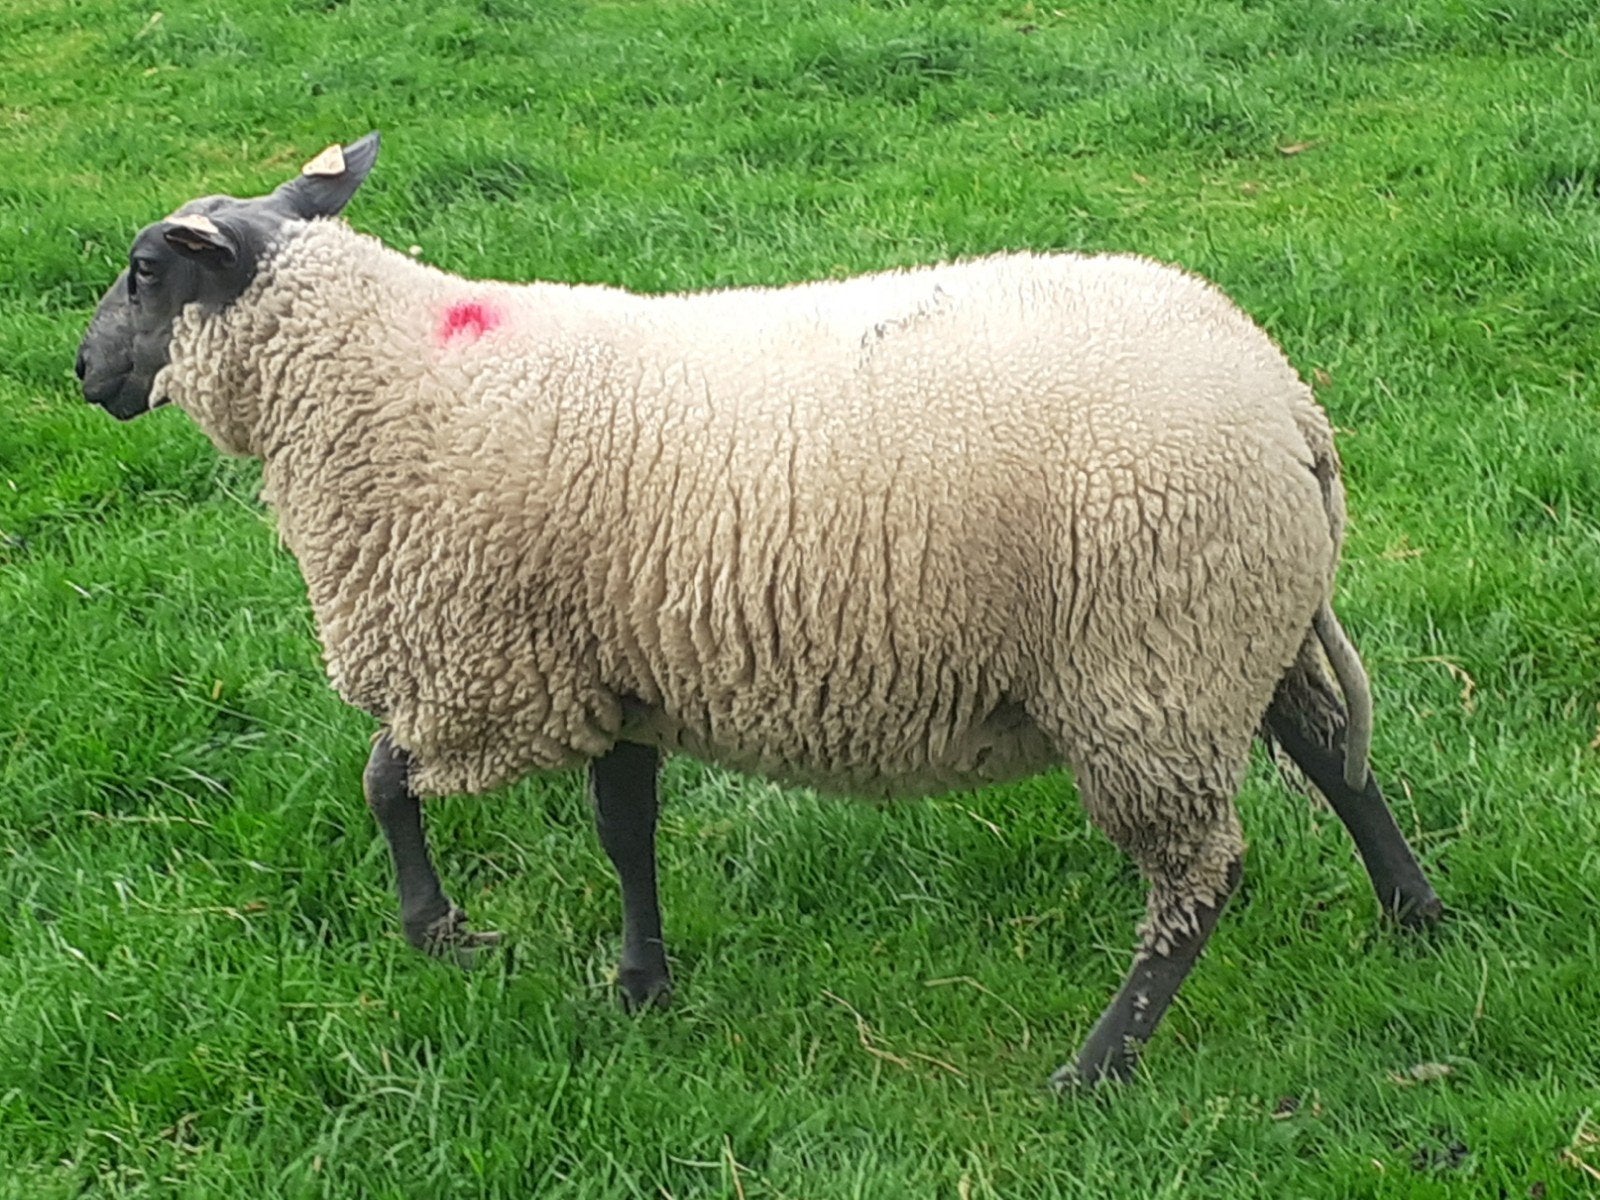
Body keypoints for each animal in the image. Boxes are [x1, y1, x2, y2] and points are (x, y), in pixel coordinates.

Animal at [75, 132, 1443, 1087]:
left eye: (144, 272)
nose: (80, 371)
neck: (387, 378)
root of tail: (1289, 405)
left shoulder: (488, 670)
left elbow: (380, 782)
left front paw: (441, 932)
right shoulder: (610, 670)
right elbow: (624, 832)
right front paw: (640, 986)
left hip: (1150, 663)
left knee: (1202, 879)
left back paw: (1097, 1066)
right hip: (1242, 628)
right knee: (1332, 752)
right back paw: (1415, 915)